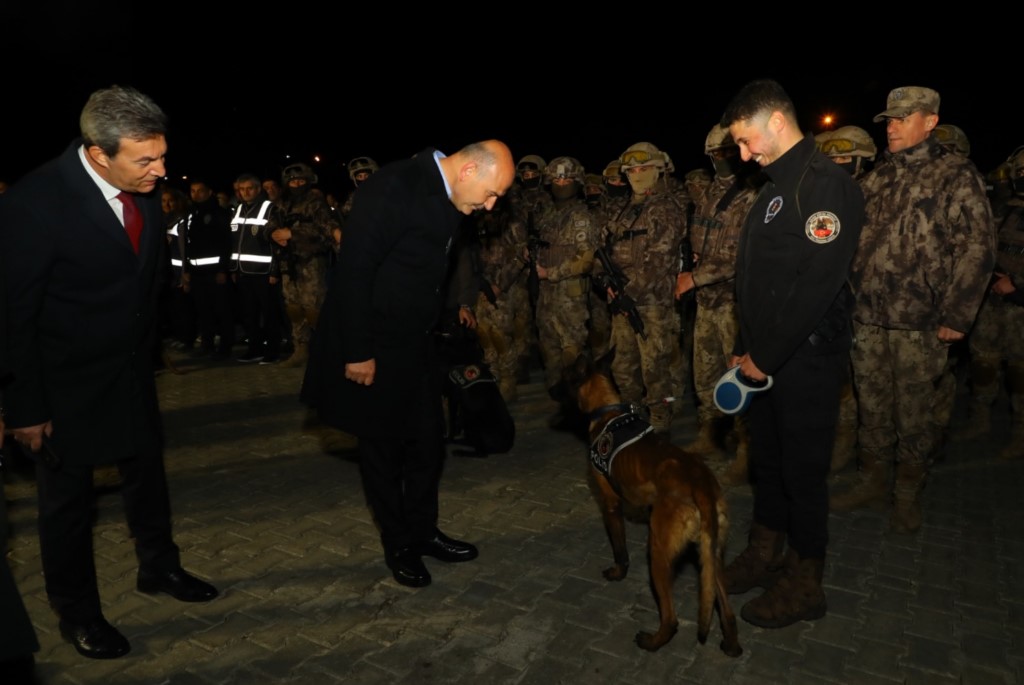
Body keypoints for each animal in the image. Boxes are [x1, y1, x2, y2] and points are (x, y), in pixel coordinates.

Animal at [565, 350, 741, 655]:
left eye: (566, 376)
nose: (552, 387)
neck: (608, 410)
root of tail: (701, 484)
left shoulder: (610, 503)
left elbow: (620, 548)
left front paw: (618, 572)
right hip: (711, 554)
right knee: (725, 606)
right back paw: (731, 644)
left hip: (658, 553)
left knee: (671, 619)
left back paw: (652, 641)